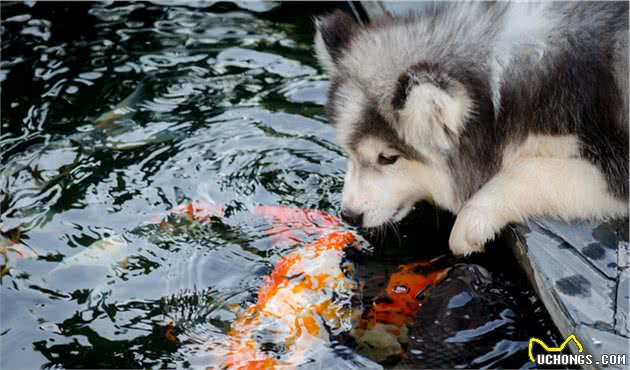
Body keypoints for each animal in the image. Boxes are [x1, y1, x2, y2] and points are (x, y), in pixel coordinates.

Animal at [314, 2, 628, 256]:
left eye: (388, 158)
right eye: (349, 152)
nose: (349, 215)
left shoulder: (616, 162)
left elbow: (532, 171)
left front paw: (472, 218)